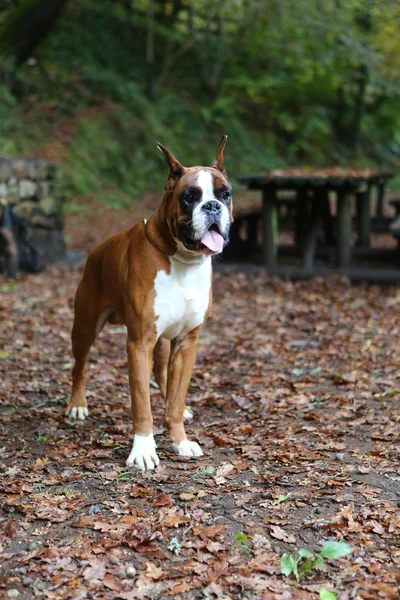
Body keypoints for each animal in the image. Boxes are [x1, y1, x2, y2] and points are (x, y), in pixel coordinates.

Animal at [66, 135, 233, 468]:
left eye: (225, 194)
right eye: (190, 197)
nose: (212, 206)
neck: (181, 259)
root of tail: (95, 252)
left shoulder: (187, 343)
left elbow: (176, 394)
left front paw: (179, 439)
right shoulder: (139, 343)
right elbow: (141, 402)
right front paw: (143, 450)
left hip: (165, 342)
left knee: (163, 376)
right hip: (86, 327)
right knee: (80, 365)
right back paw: (77, 404)